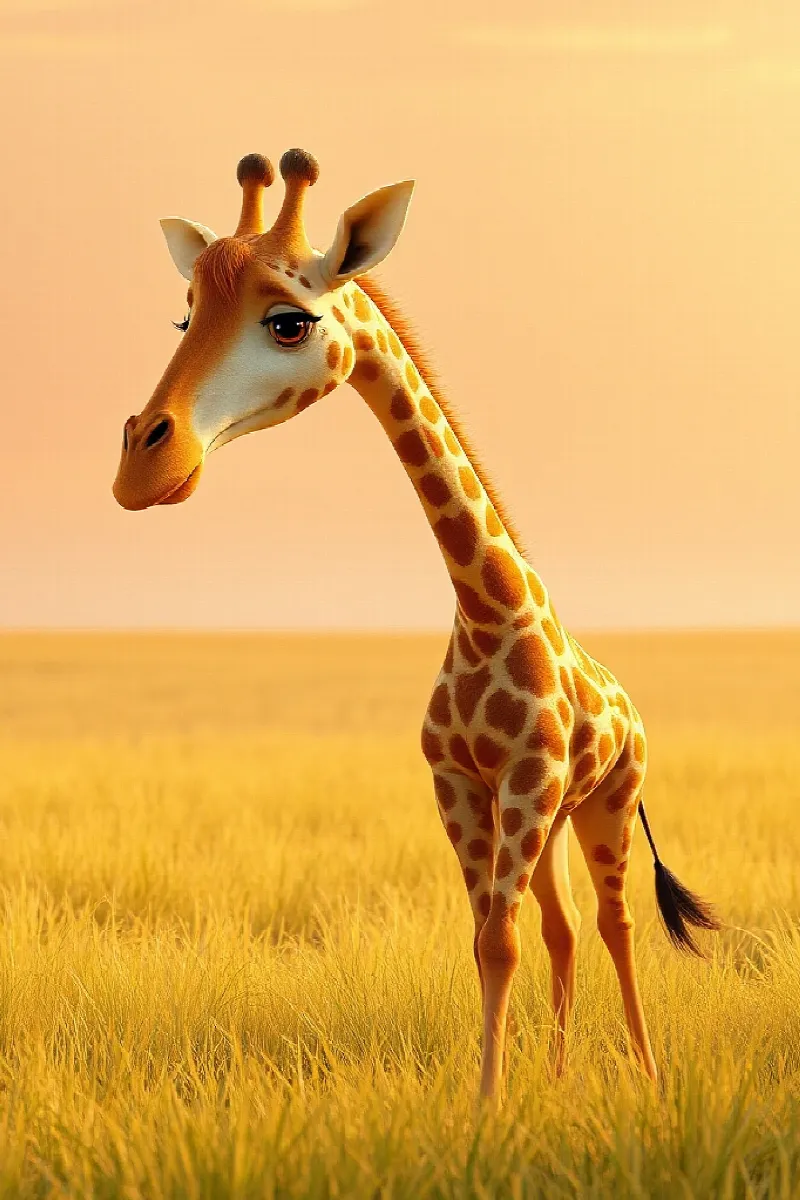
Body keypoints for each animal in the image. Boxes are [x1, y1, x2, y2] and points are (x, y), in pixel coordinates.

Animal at [113, 149, 720, 1103]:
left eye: (289, 321)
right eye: (185, 312)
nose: (144, 464)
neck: (486, 606)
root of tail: (632, 707)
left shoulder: (529, 780)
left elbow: (505, 940)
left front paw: (488, 1111)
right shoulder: (461, 787)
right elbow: (489, 939)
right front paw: (503, 1098)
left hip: (607, 800)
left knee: (616, 923)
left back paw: (651, 1079)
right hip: (552, 820)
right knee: (566, 926)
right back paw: (559, 1077)